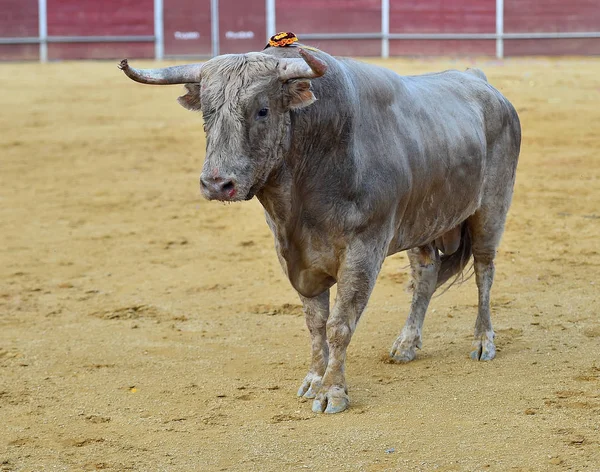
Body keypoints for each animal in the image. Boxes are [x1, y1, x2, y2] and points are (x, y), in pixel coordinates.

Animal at [118, 37, 520, 412]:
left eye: (263, 110)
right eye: (207, 111)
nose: (217, 184)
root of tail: (479, 80)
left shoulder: (364, 250)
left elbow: (339, 324)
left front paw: (333, 392)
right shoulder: (294, 254)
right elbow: (315, 323)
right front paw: (313, 379)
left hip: (491, 211)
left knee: (484, 269)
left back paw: (483, 341)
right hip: (424, 220)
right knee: (426, 273)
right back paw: (406, 345)